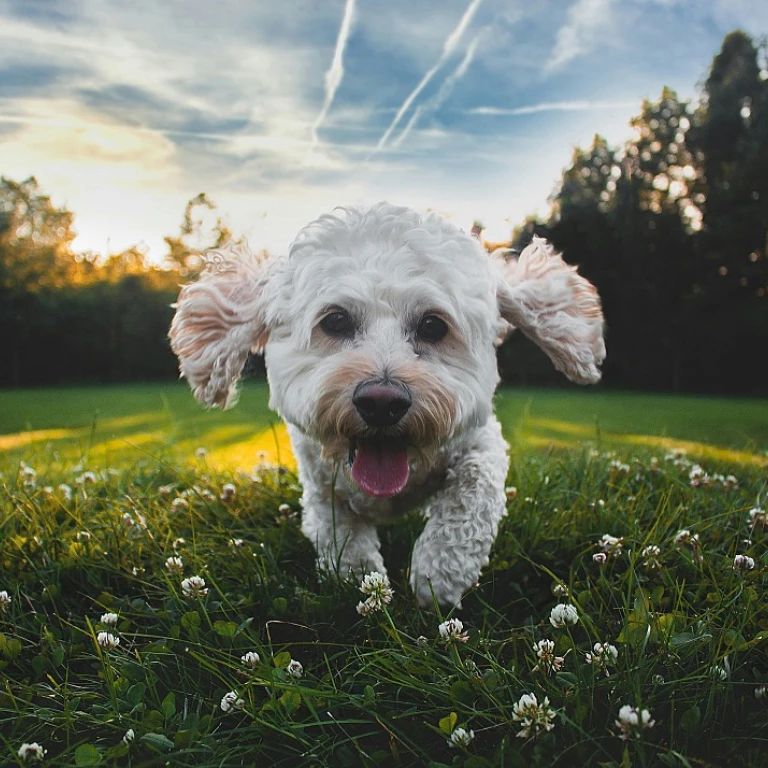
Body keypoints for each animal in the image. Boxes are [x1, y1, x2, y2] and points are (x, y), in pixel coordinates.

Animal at [170, 201, 608, 608]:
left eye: (433, 325)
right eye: (335, 321)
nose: (382, 402)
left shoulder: (481, 441)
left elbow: (472, 493)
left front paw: (438, 572)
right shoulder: (320, 483)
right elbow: (341, 534)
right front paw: (361, 581)